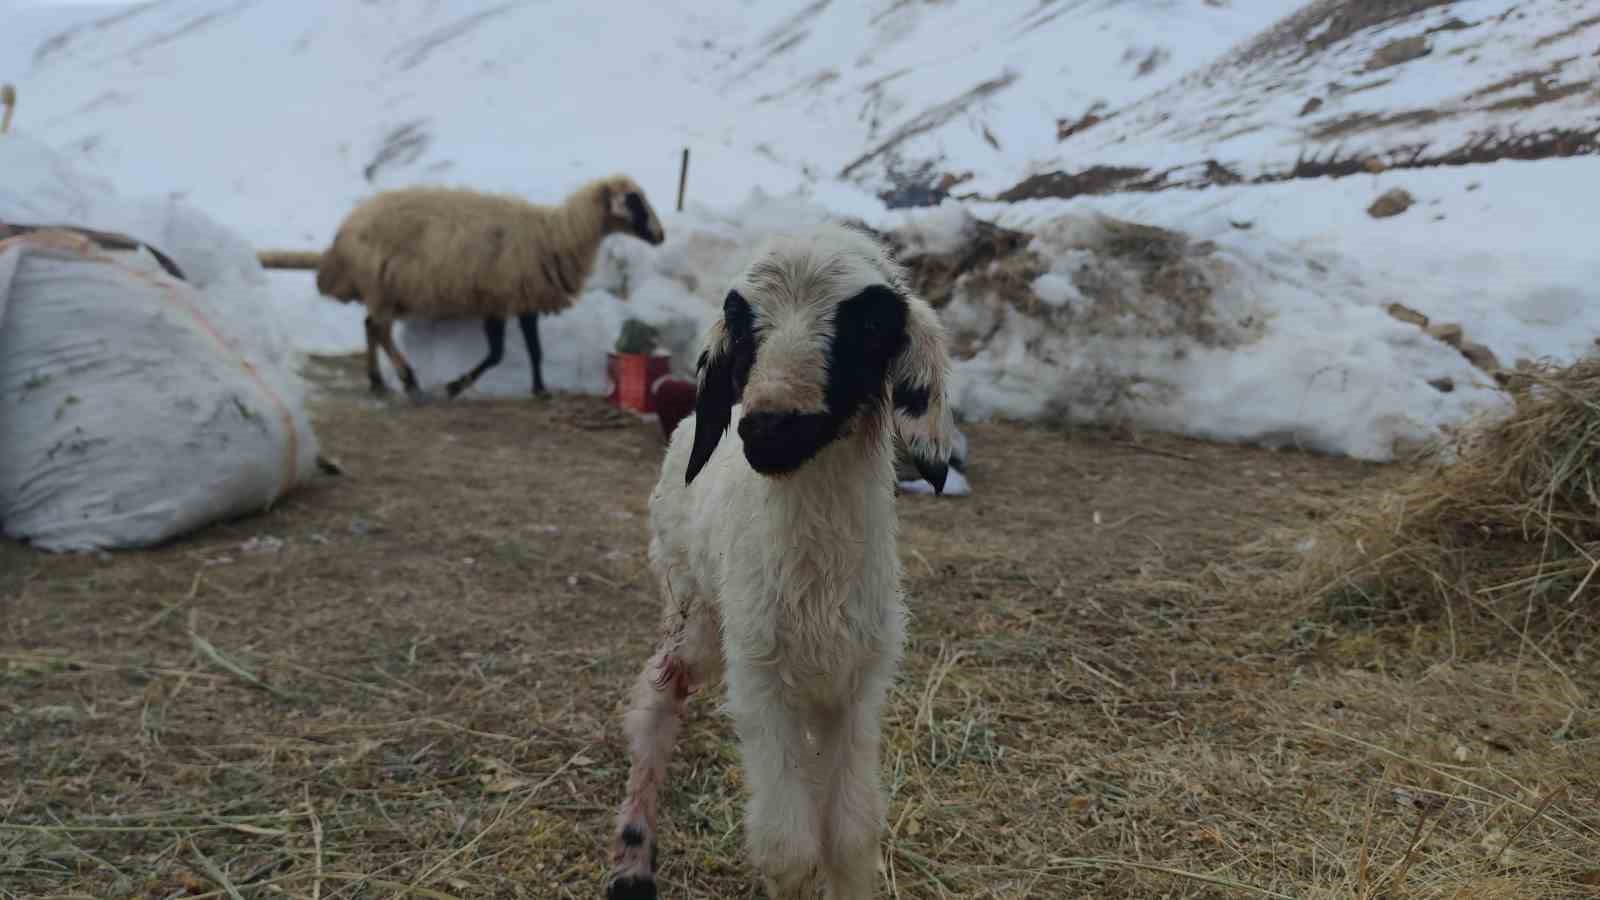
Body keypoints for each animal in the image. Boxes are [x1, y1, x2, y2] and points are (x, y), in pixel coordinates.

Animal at [315, 173, 665, 397]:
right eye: (633, 200)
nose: (660, 235)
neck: (557, 234)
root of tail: (344, 231)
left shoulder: (523, 299)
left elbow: (534, 349)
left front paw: (539, 388)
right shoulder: (500, 297)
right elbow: (497, 354)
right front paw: (456, 386)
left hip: (383, 290)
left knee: (371, 326)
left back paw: (377, 380)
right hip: (381, 285)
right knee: (380, 329)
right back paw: (408, 378)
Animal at [601, 219, 947, 896]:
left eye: (871, 322)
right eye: (741, 319)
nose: (769, 429)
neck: (817, 581)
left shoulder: (860, 682)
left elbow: (851, 835)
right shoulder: (759, 676)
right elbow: (787, 846)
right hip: (693, 608)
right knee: (657, 699)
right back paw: (633, 858)